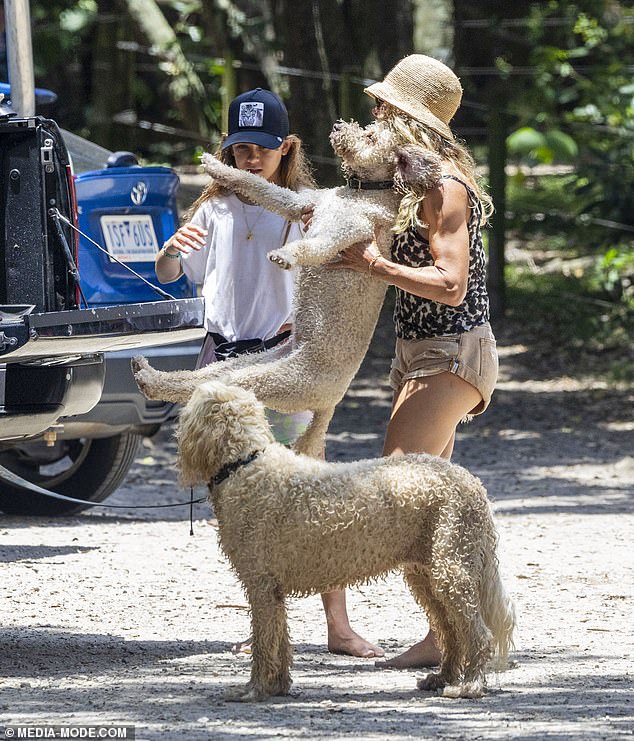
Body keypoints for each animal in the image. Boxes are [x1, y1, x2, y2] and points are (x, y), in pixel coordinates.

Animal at [133, 120, 440, 456]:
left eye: (371, 137)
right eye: (367, 127)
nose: (338, 125)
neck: (361, 192)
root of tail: (330, 404)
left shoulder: (346, 234)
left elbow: (312, 246)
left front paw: (286, 256)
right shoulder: (302, 205)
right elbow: (260, 187)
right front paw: (215, 167)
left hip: (281, 380)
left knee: (222, 383)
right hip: (258, 360)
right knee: (198, 378)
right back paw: (149, 375)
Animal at [177, 382, 512, 700]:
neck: (245, 464)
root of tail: (470, 482)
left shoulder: (260, 586)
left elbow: (264, 644)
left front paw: (254, 690)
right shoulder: (273, 592)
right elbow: (280, 641)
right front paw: (278, 686)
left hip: (450, 570)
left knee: (477, 634)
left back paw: (468, 686)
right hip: (427, 576)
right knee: (451, 632)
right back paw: (442, 678)